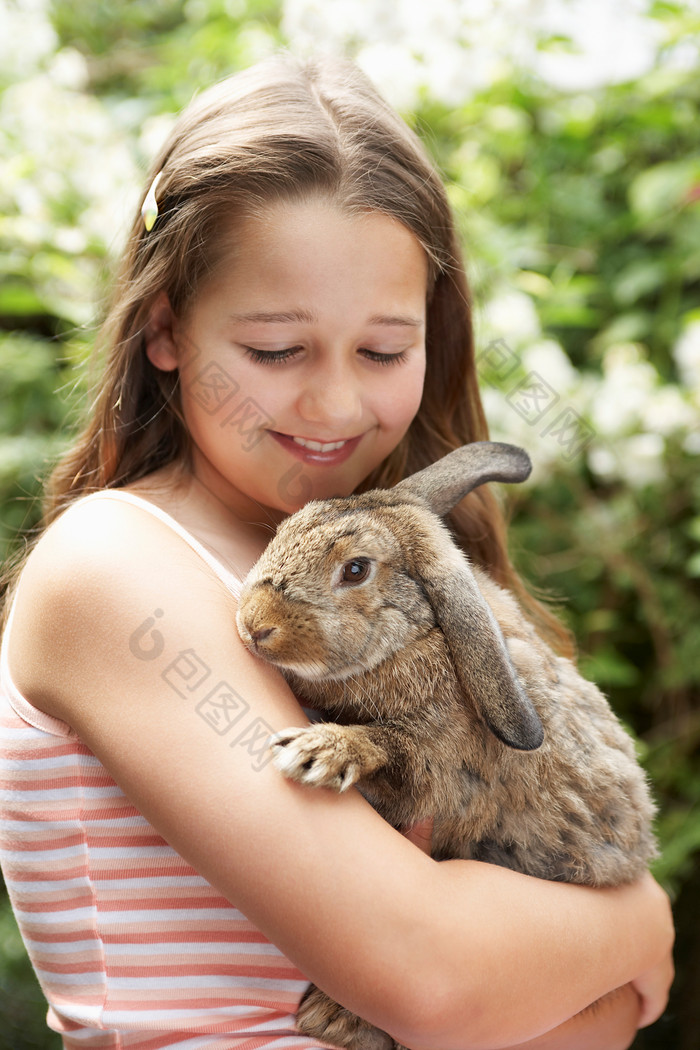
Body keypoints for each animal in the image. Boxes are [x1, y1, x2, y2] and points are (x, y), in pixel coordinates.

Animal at [234, 440, 659, 1050]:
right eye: (286, 527)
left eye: (356, 569)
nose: (254, 625)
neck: (418, 636)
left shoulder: (438, 776)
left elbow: (390, 747)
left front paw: (319, 752)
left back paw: (334, 1019)